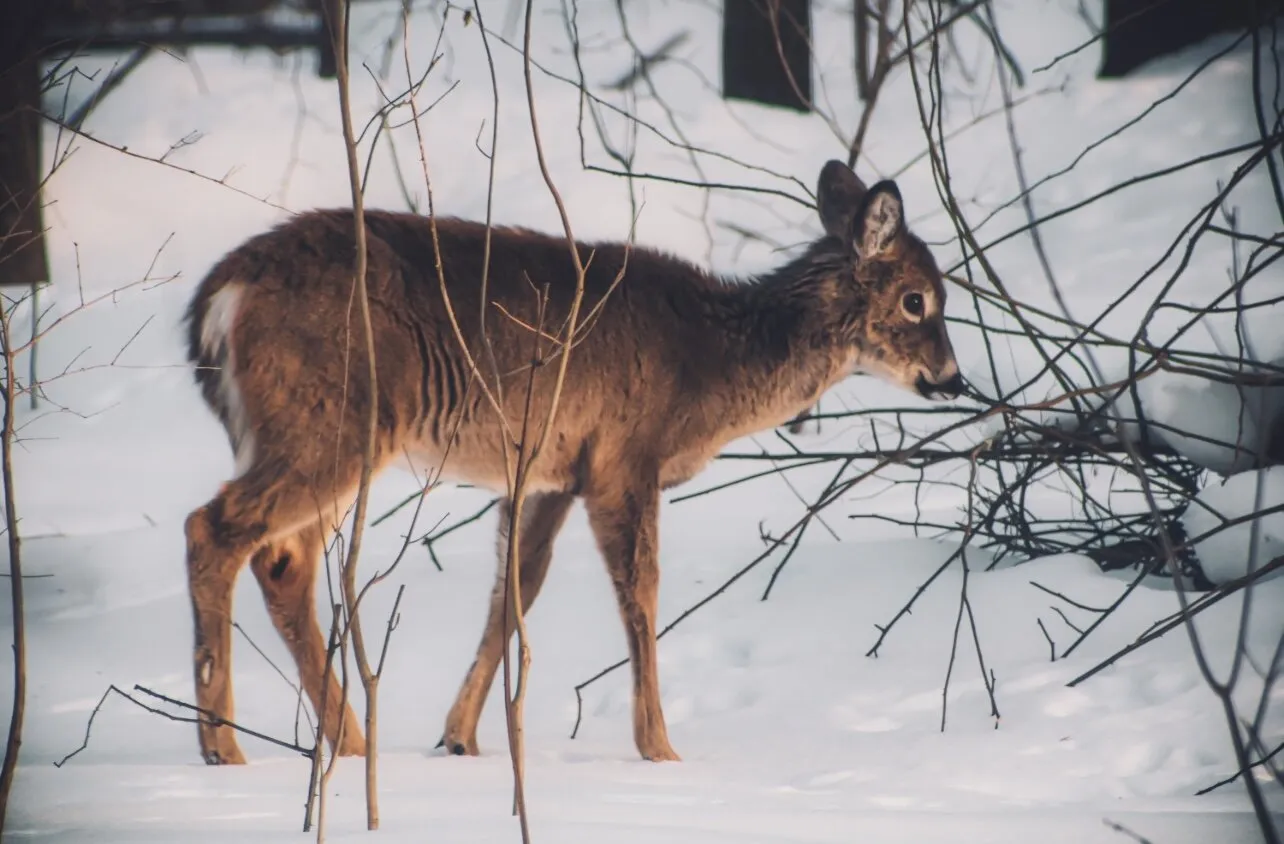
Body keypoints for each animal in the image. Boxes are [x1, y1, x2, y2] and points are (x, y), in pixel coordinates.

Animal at [181, 158, 963, 766]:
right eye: (916, 300)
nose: (953, 378)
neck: (709, 365)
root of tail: (218, 297)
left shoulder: (549, 471)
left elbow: (516, 588)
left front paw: (460, 738)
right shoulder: (623, 457)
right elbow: (641, 594)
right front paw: (661, 749)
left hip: (324, 433)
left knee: (283, 561)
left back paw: (347, 744)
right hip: (332, 420)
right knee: (212, 528)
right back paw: (225, 747)